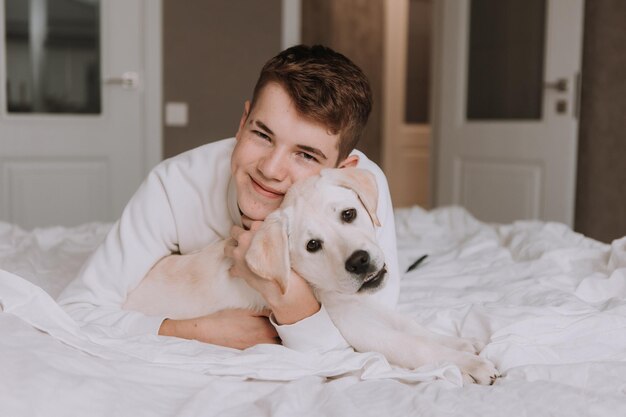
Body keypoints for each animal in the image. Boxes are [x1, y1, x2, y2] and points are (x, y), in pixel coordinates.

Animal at [124, 167, 498, 384]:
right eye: (313, 245)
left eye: (349, 214)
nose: (360, 261)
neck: (325, 289)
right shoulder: (358, 328)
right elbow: (415, 347)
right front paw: (471, 365)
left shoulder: (367, 307)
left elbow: (414, 328)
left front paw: (462, 344)